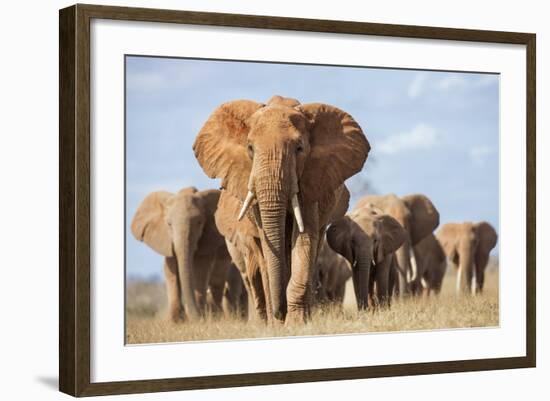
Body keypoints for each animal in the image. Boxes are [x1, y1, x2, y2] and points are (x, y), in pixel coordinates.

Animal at [133, 186, 237, 320]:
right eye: (169, 224)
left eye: (199, 223)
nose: (195, 318)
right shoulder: (166, 241)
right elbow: (170, 270)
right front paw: (176, 321)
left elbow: (200, 270)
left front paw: (199, 318)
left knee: (217, 280)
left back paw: (216, 316)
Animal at [194, 94, 370, 322]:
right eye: (250, 148)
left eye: (299, 148)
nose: (280, 312)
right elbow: (268, 246)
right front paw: (280, 321)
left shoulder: (312, 181)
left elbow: (304, 236)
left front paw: (296, 322)